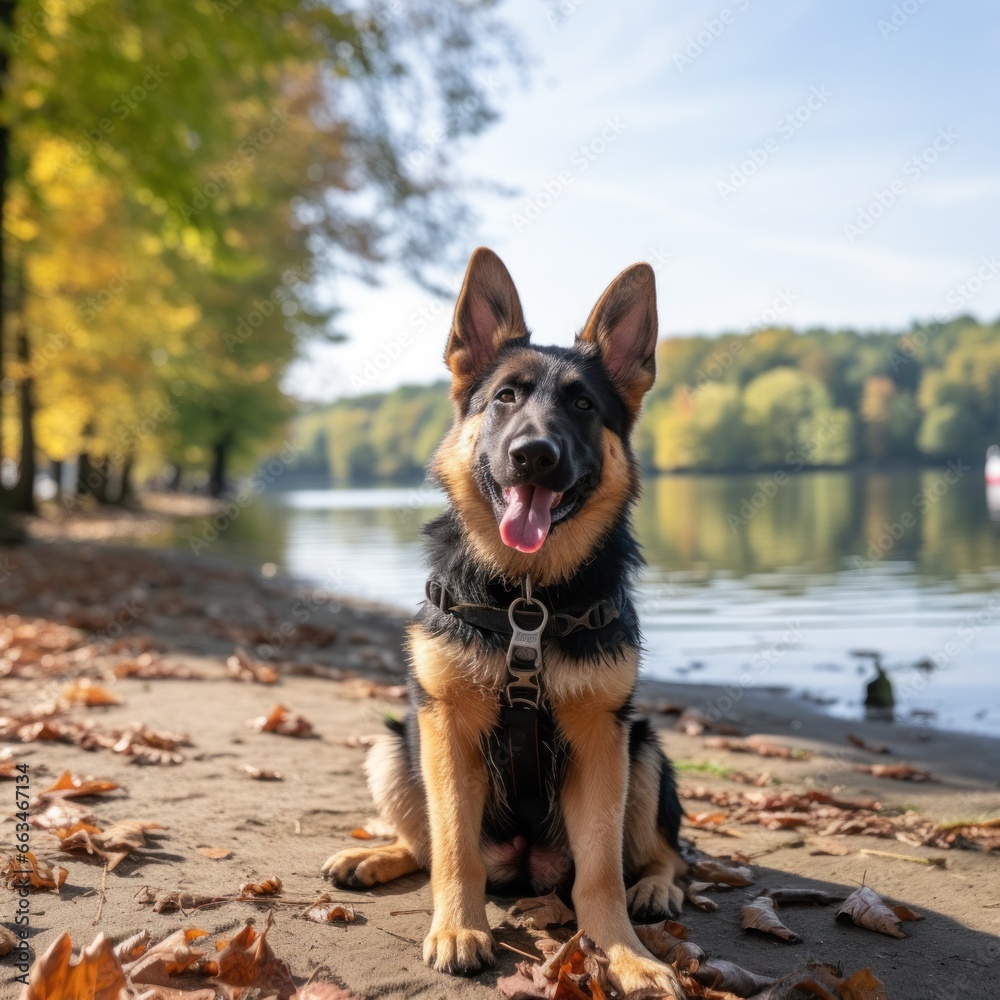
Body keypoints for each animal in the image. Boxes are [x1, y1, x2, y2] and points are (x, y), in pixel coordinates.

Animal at [326, 248, 688, 992]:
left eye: (582, 404)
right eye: (506, 398)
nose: (535, 455)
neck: (528, 598)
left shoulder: (602, 738)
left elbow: (601, 874)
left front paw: (624, 953)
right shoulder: (446, 727)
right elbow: (453, 850)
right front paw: (459, 929)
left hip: (643, 751)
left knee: (664, 854)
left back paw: (656, 887)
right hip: (393, 747)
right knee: (423, 844)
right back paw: (375, 856)